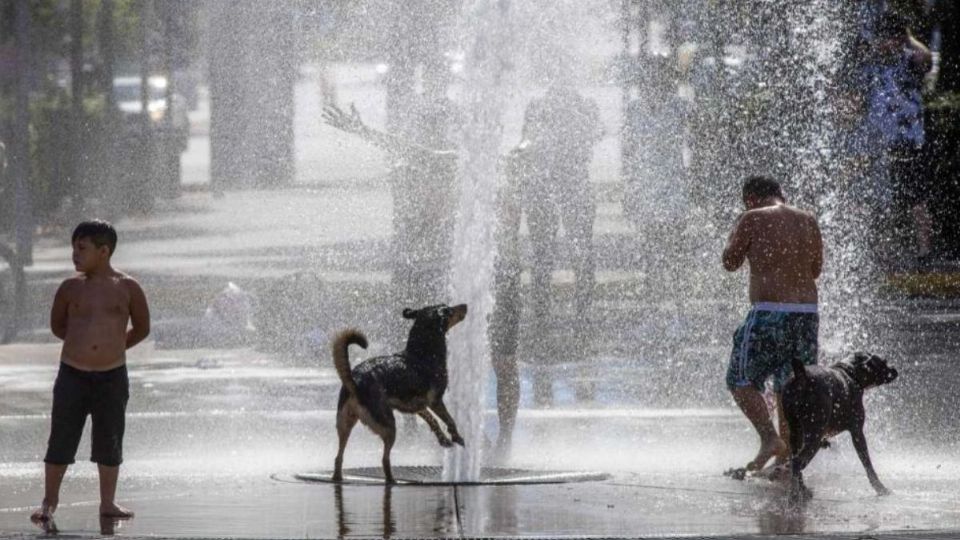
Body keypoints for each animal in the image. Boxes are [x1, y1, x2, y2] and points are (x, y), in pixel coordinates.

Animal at [330, 302, 468, 484]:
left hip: (345, 424)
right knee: (384, 459)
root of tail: (356, 381)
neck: (421, 353)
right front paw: (457, 437)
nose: (465, 305)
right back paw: (392, 480)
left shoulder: (417, 406)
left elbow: (433, 421)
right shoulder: (435, 401)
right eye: (449, 309)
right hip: (388, 425)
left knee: (338, 456)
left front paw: (444, 439)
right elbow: (449, 420)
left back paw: (337, 477)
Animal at [784, 352, 896, 500]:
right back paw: (794, 494)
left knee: (794, 461)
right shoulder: (857, 432)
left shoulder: (820, 438)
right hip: (814, 435)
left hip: (797, 433)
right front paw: (880, 488)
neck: (850, 372)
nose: (895, 370)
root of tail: (802, 375)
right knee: (797, 461)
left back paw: (802, 489)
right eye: (884, 362)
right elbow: (867, 463)